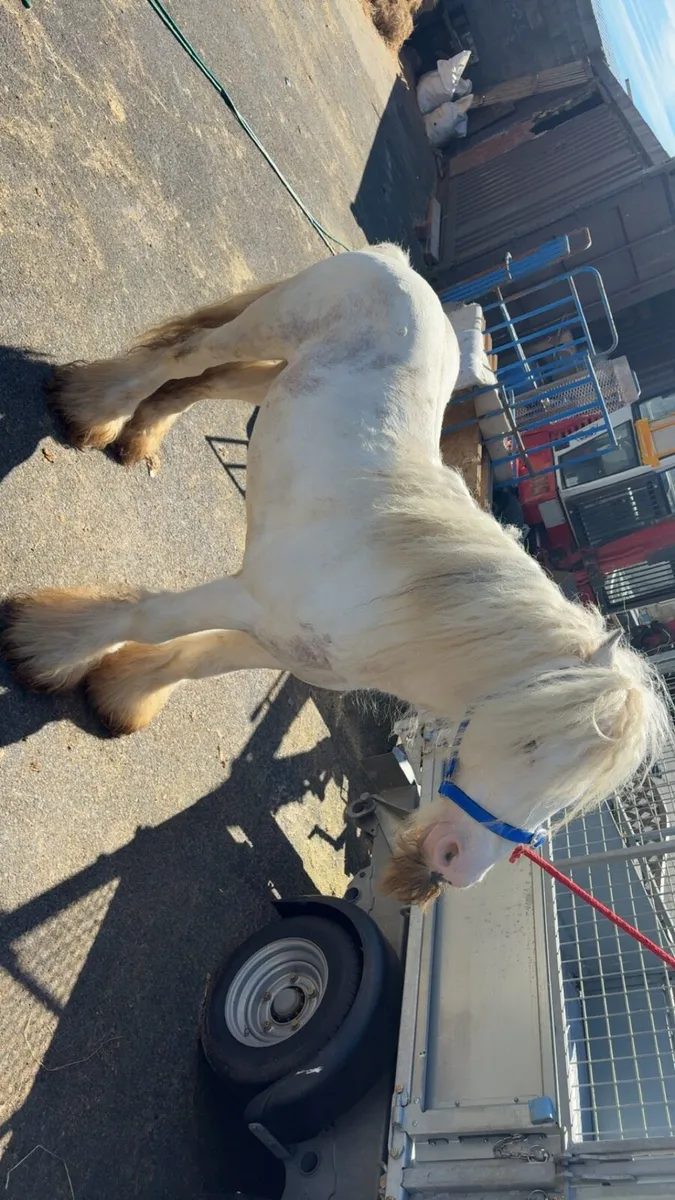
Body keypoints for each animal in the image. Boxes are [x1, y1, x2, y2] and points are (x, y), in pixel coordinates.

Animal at [2, 244, 669, 903]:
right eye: (530, 743)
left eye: (570, 796)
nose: (455, 864)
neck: (403, 603)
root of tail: (403, 267)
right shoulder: (245, 598)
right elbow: (150, 620)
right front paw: (43, 651)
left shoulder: (280, 645)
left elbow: (192, 661)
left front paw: (121, 697)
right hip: (266, 326)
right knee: (186, 354)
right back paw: (93, 411)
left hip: (274, 376)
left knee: (205, 382)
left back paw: (136, 436)